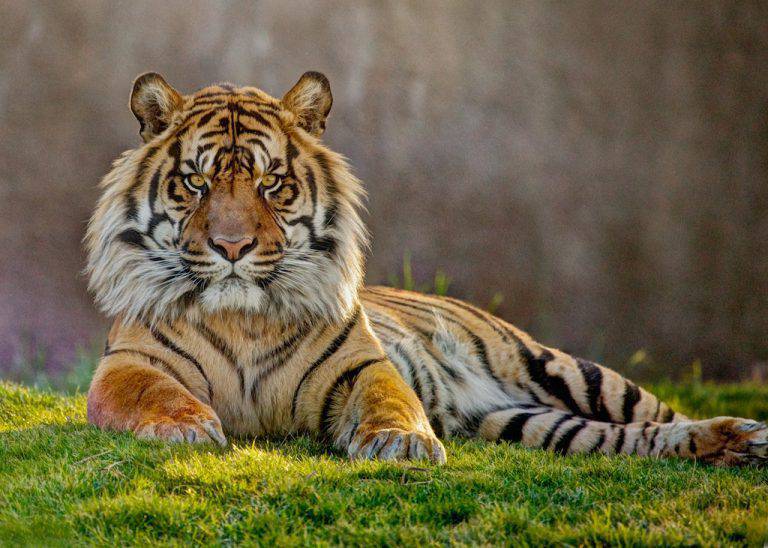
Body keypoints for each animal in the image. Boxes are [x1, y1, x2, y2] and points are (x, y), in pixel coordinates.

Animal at [85, 71, 768, 466]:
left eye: (271, 182)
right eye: (196, 183)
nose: (232, 248)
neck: (242, 318)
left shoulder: (360, 364)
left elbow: (390, 397)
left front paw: (404, 442)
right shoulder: (126, 365)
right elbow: (152, 393)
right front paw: (184, 429)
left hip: (565, 369)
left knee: (658, 415)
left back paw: (748, 434)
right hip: (524, 423)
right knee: (634, 440)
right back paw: (729, 446)